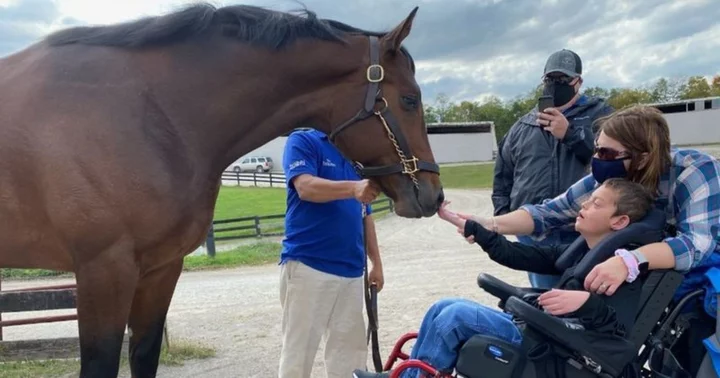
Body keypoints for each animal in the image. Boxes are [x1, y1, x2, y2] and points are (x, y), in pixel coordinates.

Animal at [0, 2, 442, 378]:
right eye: (409, 99)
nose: (434, 194)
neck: (146, 111)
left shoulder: (160, 269)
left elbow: (144, 355)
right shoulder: (103, 271)